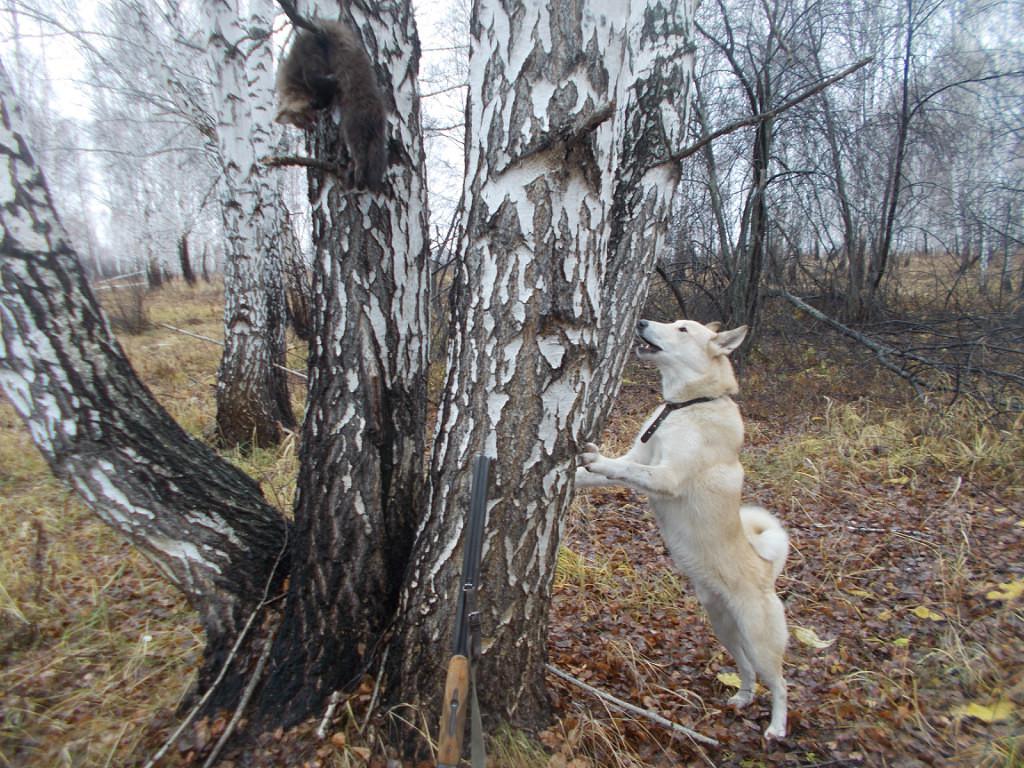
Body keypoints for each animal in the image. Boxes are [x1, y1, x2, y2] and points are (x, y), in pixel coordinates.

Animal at [574, 318, 790, 739]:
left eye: (683, 329)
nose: (642, 321)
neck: (684, 406)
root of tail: (766, 570)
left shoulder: (666, 475)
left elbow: (625, 468)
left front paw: (597, 458)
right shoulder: (641, 455)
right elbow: (608, 471)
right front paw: (577, 474)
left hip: (758, 640)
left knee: (780, 683)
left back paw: (777, 727)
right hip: (724, 627)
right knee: (747, 669)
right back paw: (742, 698)